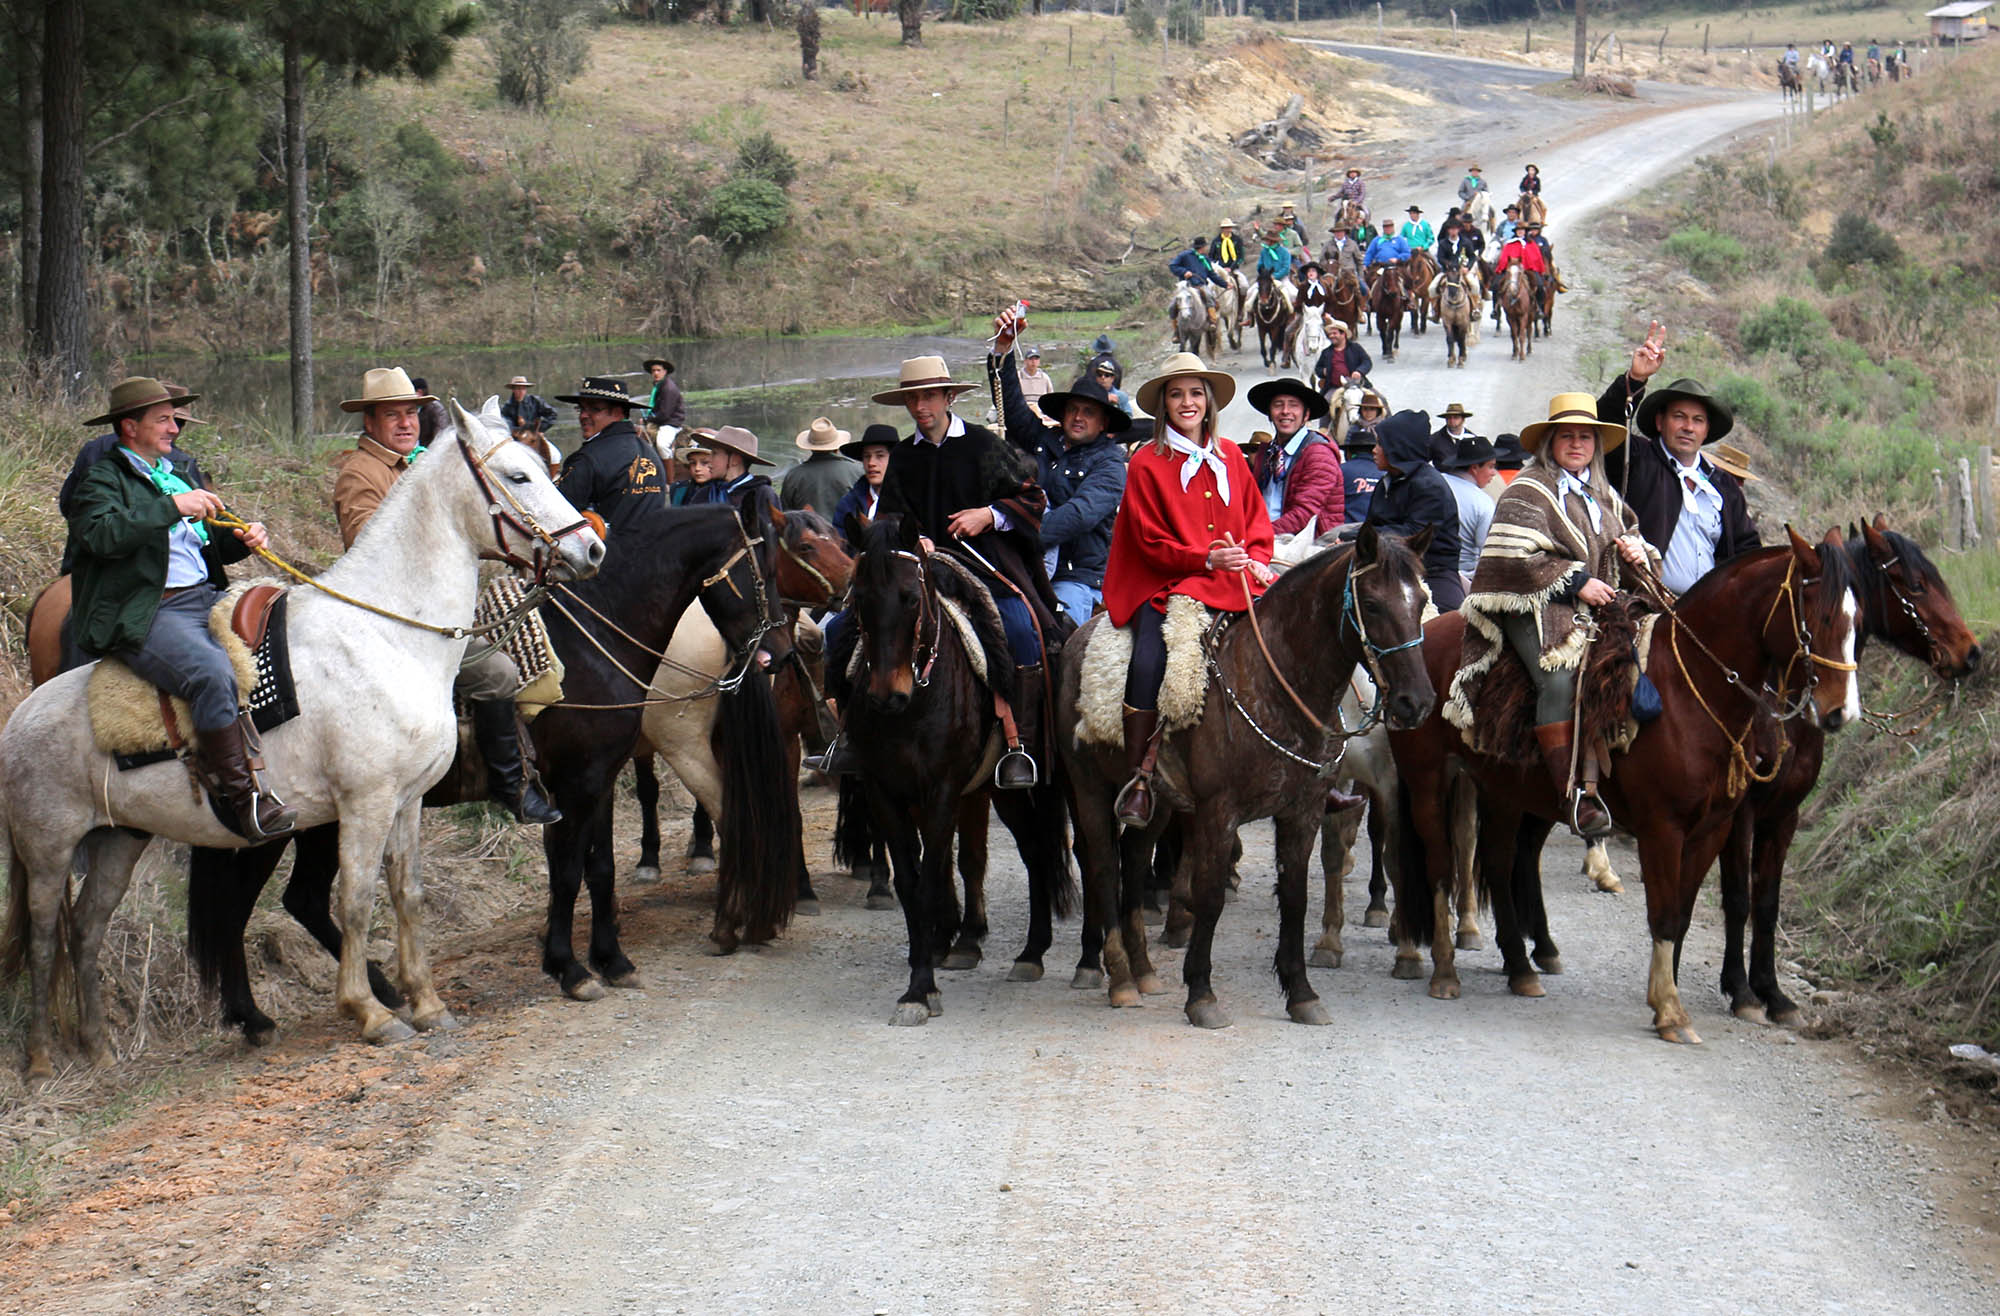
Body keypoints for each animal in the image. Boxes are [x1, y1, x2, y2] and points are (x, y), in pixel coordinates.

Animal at [3, 402, 604, 1080]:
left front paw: (426, 1002)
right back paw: (42, 1059)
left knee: (87, 928)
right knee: (45, 937)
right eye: (519, 476)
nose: (591, 547)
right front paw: (371, 1013)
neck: (388, 634)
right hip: (49, 851)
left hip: (116, 842)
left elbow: (408, 894)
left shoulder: (407, 803)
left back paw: (101, 1048)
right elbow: (357, 900)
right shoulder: (365, 804)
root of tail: (19, 718)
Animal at [840, 516, 1072, 1020]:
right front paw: (921, 972)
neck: (914, 706)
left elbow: (932, 878)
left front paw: (920, 988)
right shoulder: (885, 791)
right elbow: (913, 882)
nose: (887, 695)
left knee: (1040, 851)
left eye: (910, 597)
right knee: (1030, 850)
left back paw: (1040, 953)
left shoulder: (944, 789)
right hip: (995, 790)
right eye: (859, 596)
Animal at [1064, 524, 1440, 1024]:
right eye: (1373, 604)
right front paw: (1201, 993)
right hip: (1086, 786)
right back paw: (1120, 977)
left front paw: (1302, 992)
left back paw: (1143, 970)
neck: (1276, 685)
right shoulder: (1217, 812)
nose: (1416, 702)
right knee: (1104, 866)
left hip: (1157, 802)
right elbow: (1210, 896)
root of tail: (1078, 636)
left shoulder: (1304, 810)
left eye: (1420, 601)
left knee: (1134, 855)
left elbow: (1296, 896)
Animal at [1384, 528, 1864, 1040]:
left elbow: (1682, 912)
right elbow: (1664, 912)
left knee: (1497, 862)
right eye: (1821, 617)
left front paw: (1664, 995)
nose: (1840, 711)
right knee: (1439, 867)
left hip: (1506, 790)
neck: (1688, 692)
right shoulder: (1663, 829)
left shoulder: (1712, 830)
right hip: (1428, 780)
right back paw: (1444, 971)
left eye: (1859, 619)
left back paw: (1521, 968)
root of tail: (1422, 642)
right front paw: (1672, 1011)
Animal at [1720, 516, 1984, 1020]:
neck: (1778, 708)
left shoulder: (1784, 815)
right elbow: (1739, 897)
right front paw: (1741, 990)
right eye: (1917, 586)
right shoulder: (1741, 811)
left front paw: (1772, 992)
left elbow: (1767, 903)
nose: (1973, 653)